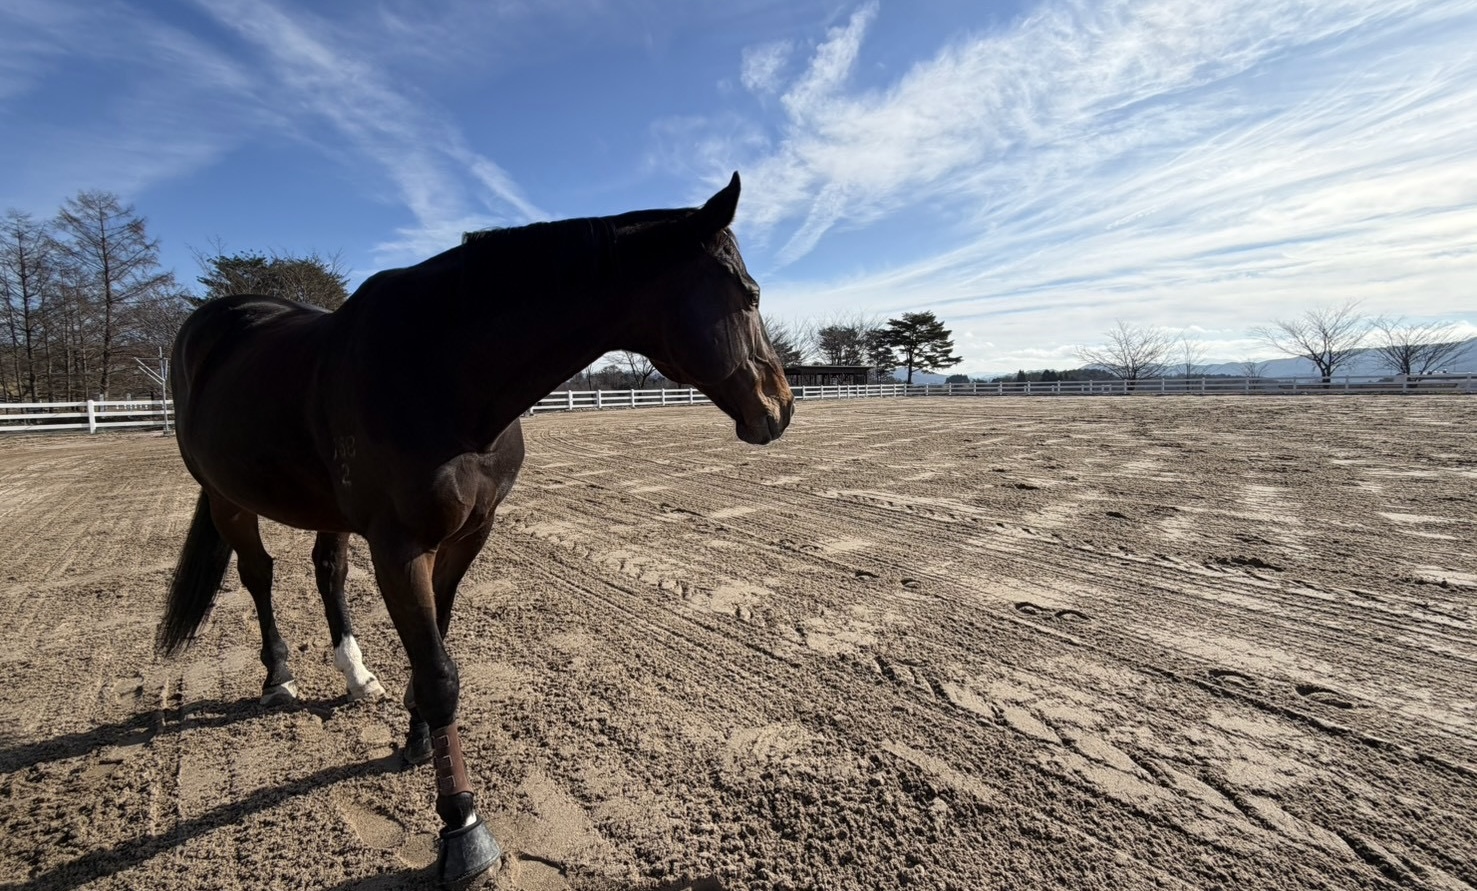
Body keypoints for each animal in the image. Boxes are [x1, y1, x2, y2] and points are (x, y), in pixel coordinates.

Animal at [157, 173, 793, 885]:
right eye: (750, 295)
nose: (782, 405)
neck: (442, 370)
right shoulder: (398, 547)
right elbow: (438, 673)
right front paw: (461, 825)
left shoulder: (466, 536)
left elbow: (435, 650)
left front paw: (415, 741)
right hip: (226, 498)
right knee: (258, 574)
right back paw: (279, 677)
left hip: (326, 512)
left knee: (328, 572)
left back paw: (356, 676)